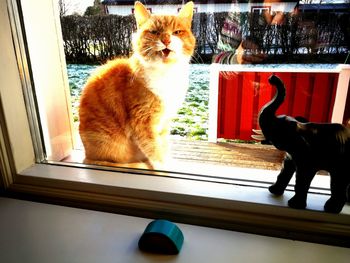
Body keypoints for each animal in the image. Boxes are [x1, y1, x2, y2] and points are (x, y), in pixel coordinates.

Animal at [78, 1, 196, 170]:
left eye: (177, 32)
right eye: (154, 32)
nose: (166, 40)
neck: (166, 74)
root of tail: (87, 157)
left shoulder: (164, 123)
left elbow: (163, 146)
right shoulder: (142, 122)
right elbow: (154, 149)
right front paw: (164, 168)